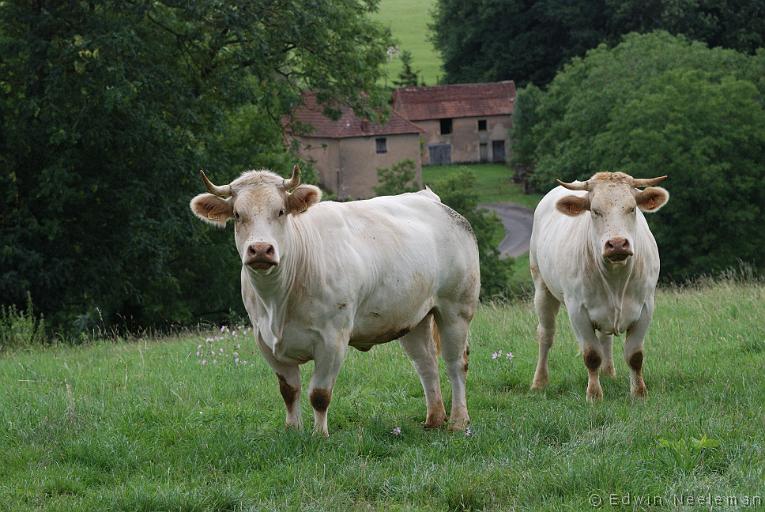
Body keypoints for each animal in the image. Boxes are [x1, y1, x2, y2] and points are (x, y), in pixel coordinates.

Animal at [190, 166, 478, 434]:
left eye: (281, 211)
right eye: (238, 215)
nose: (260, 249)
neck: (277, 303)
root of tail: (429, 198)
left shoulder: (332, 339)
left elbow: (319, 394)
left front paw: (320, 435)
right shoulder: (265, 341)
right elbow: (289, 391)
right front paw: (292, 430)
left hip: (456, 308)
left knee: (455, 363)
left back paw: (458, 421)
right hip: (412, 316)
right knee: (426, 363)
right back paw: (434, 419)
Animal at [528, 171, 664, 400]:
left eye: (632, 208)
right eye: (594, 211)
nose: (617, 244)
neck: (616, 279)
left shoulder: (646, 307)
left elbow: (635, 356)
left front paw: (639, 392)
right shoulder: (577, 311)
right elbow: (591, 355)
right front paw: (594, 395)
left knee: (604, 338)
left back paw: (609, 373)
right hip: (542, 289)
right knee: (546, 335)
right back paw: (539, 382)